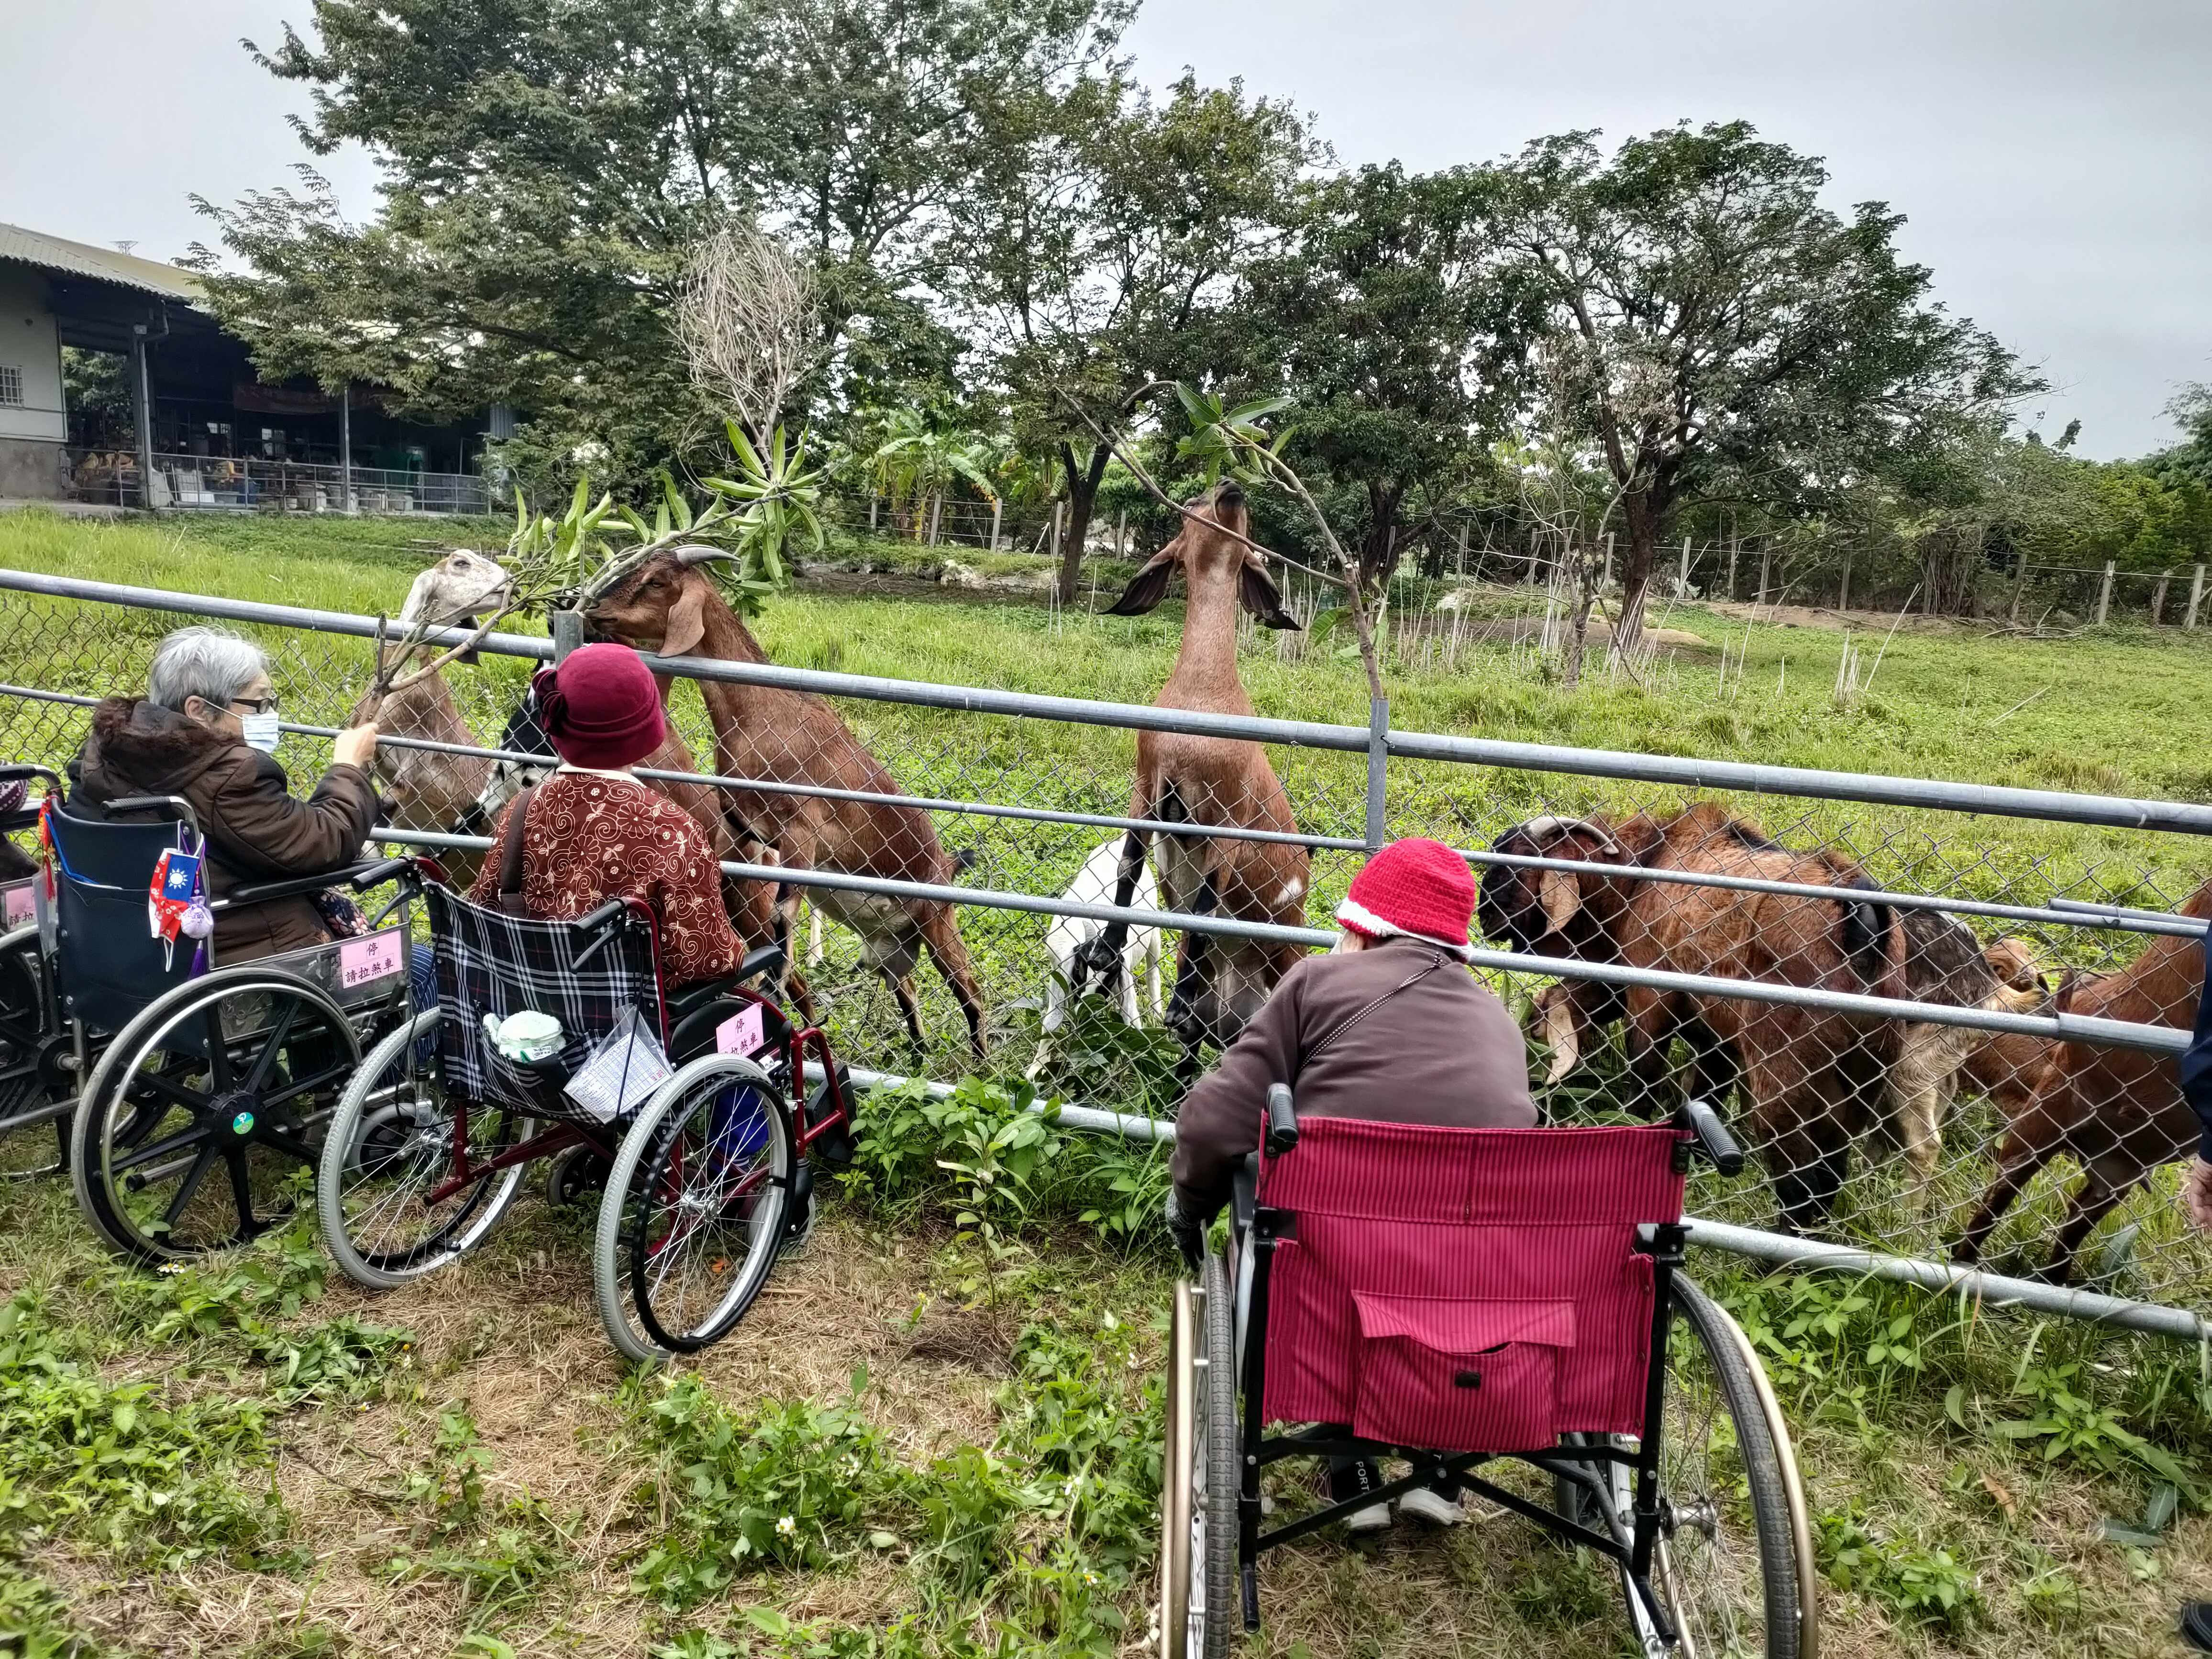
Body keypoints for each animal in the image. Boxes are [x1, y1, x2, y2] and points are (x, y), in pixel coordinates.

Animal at [1075, 484, 1309, 1079]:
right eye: (1195, 498)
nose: (1232, 487)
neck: (1203, 701)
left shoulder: (1226, 818)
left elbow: (1204, 906)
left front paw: (1173, 1002)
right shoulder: (1148, 787)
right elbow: (1129, 867)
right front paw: (1106, 951)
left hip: (1284, 959)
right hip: (1217, 1002)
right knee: (1199, 1040)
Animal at [1477, 805, 1911, 1239]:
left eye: (1516, 863)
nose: (1484, 918)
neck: (1646, 868)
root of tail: (1862, 926)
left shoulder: (1649, 1003)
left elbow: (1645, 1076)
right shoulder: (1718, 1040)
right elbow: (1707, 1093)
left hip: (1784, 1076)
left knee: (1802, 1182)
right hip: (1862, 1079)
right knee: (1831, 1169)